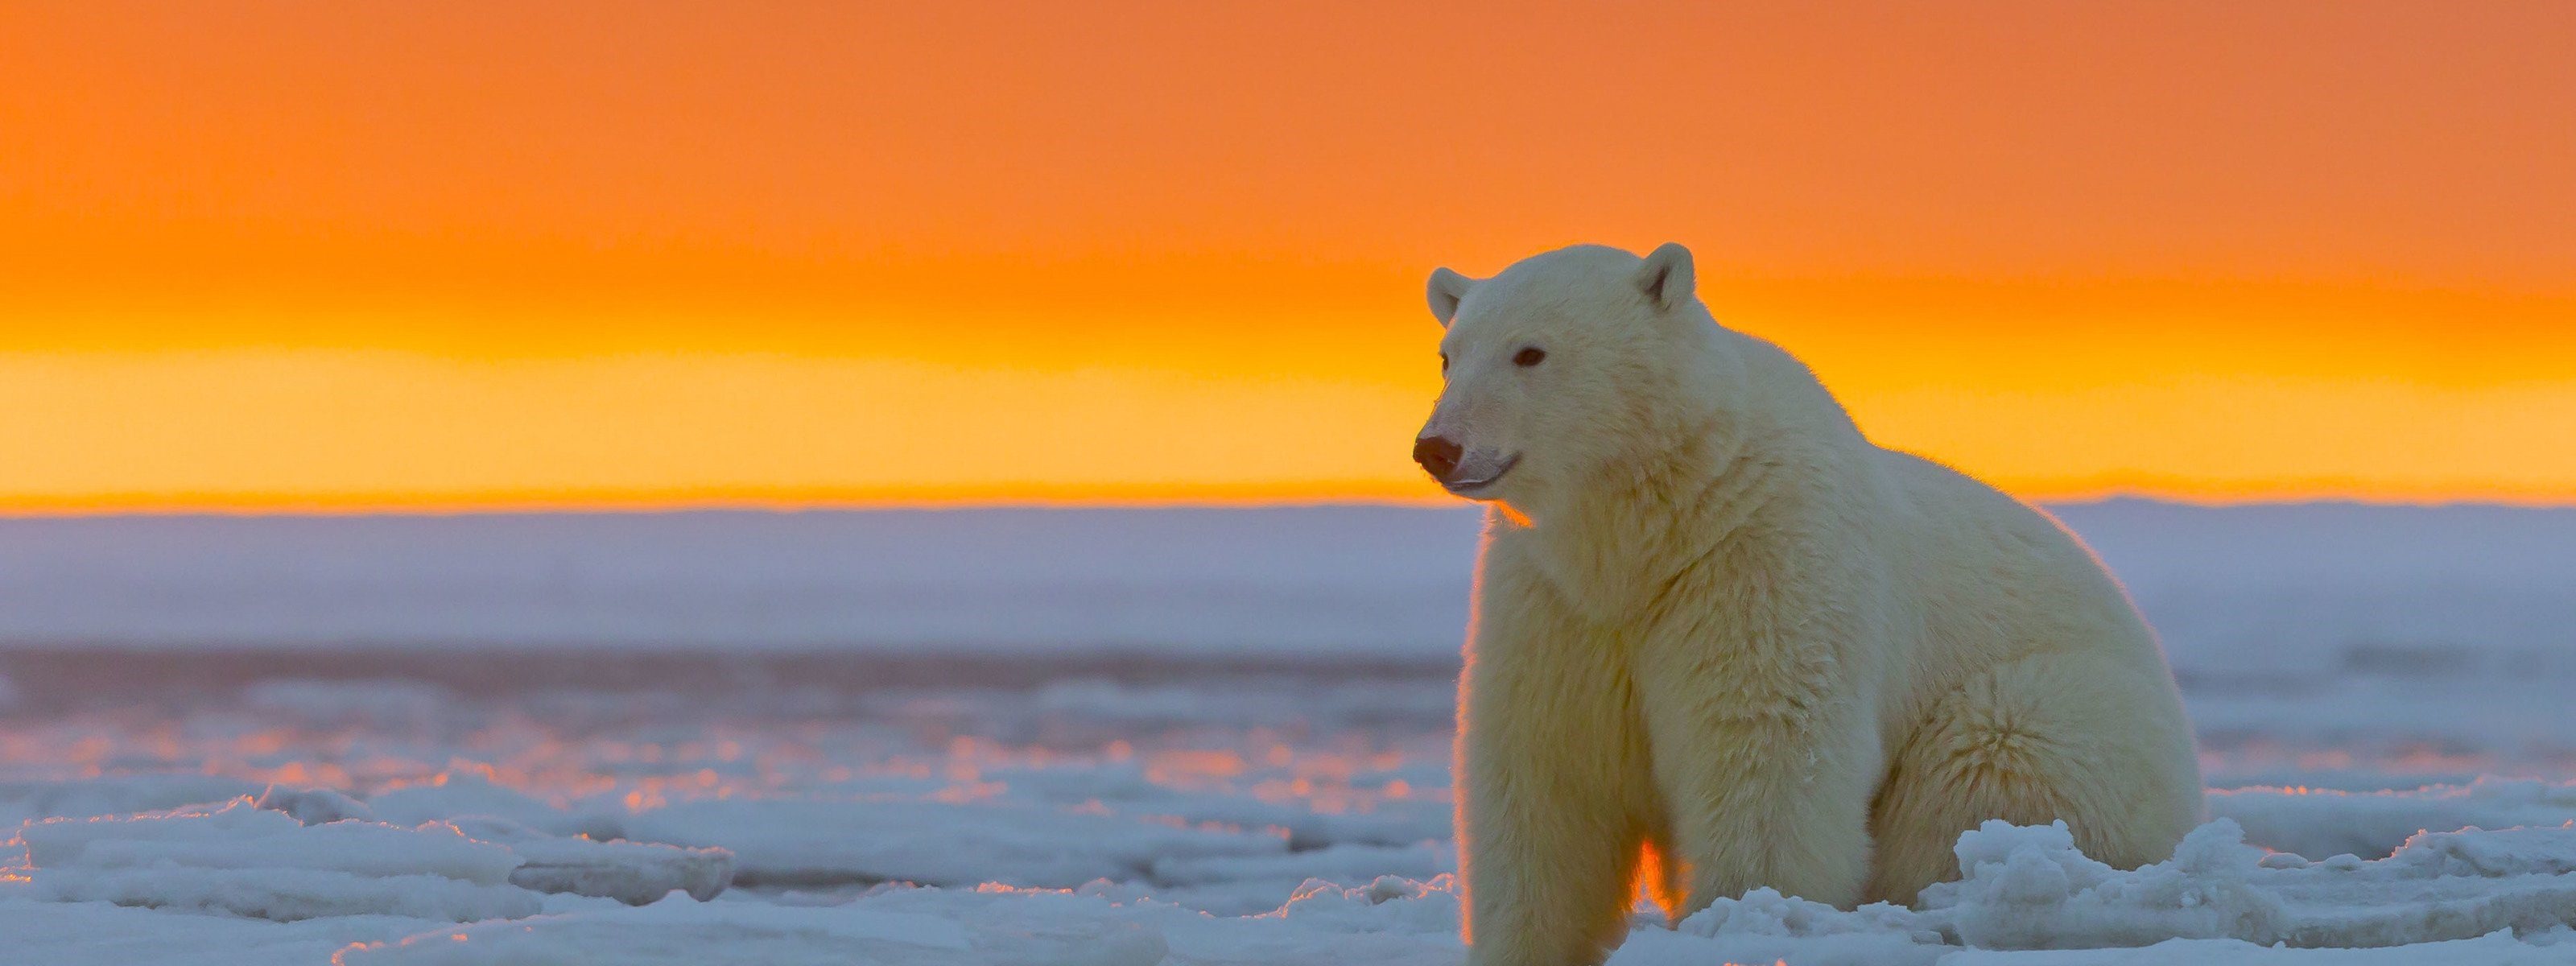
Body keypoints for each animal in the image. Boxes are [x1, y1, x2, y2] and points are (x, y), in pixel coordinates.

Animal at [1422, 243, 2205, 966]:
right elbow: (1544, 769)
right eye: (1448, 356)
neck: (1653, 530)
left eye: (1531, 351)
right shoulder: (1554, 600)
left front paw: (1744, 918)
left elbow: (1763, 744)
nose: (1437, 447)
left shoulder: (1763, 554)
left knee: (1994, 757)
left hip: (2066, 718)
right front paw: (1524, 942)